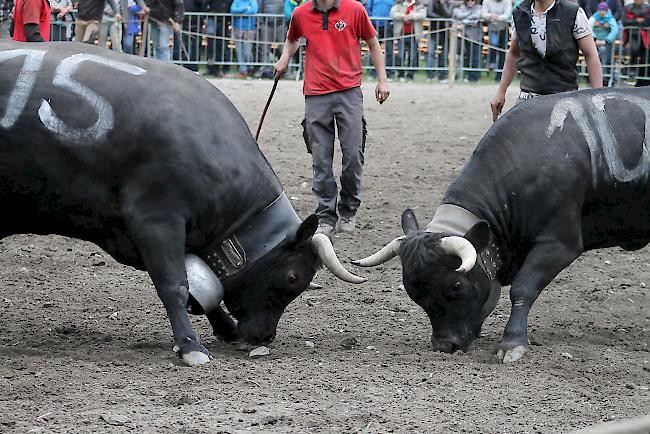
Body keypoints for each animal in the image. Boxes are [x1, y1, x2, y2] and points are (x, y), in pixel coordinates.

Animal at [0, 41, 364, 366]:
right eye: (292, 278)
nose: (265, 337)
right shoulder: (156, 219)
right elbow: (174, 284)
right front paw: (190, 345)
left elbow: (202, 293)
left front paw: (225, 329)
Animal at [354, 87, 648, 362]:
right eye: (413, 291)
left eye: (456, 285)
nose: (444, 345)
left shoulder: (558, 244)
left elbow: (522, 288)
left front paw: (512, 342)